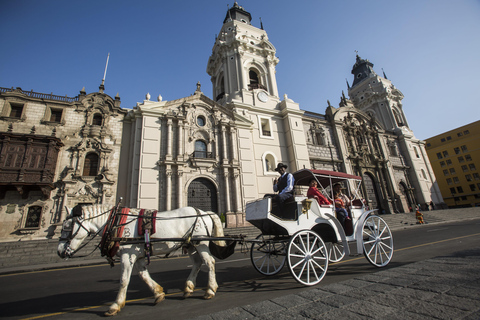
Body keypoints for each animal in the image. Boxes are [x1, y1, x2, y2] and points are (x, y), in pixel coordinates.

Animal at [57, 204, 226, 316]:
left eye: (67, 226)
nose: (59, 252)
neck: (116, 223)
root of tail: (204, 212)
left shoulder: (127, 255)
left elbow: (124, 280)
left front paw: (115, 306)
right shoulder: (137, 256)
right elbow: (143, 275)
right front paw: (158, 294)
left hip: (201, 242)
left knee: (210, 262)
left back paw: (210, 290)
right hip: (191, 244)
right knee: (197, 263)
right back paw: (188, 289)